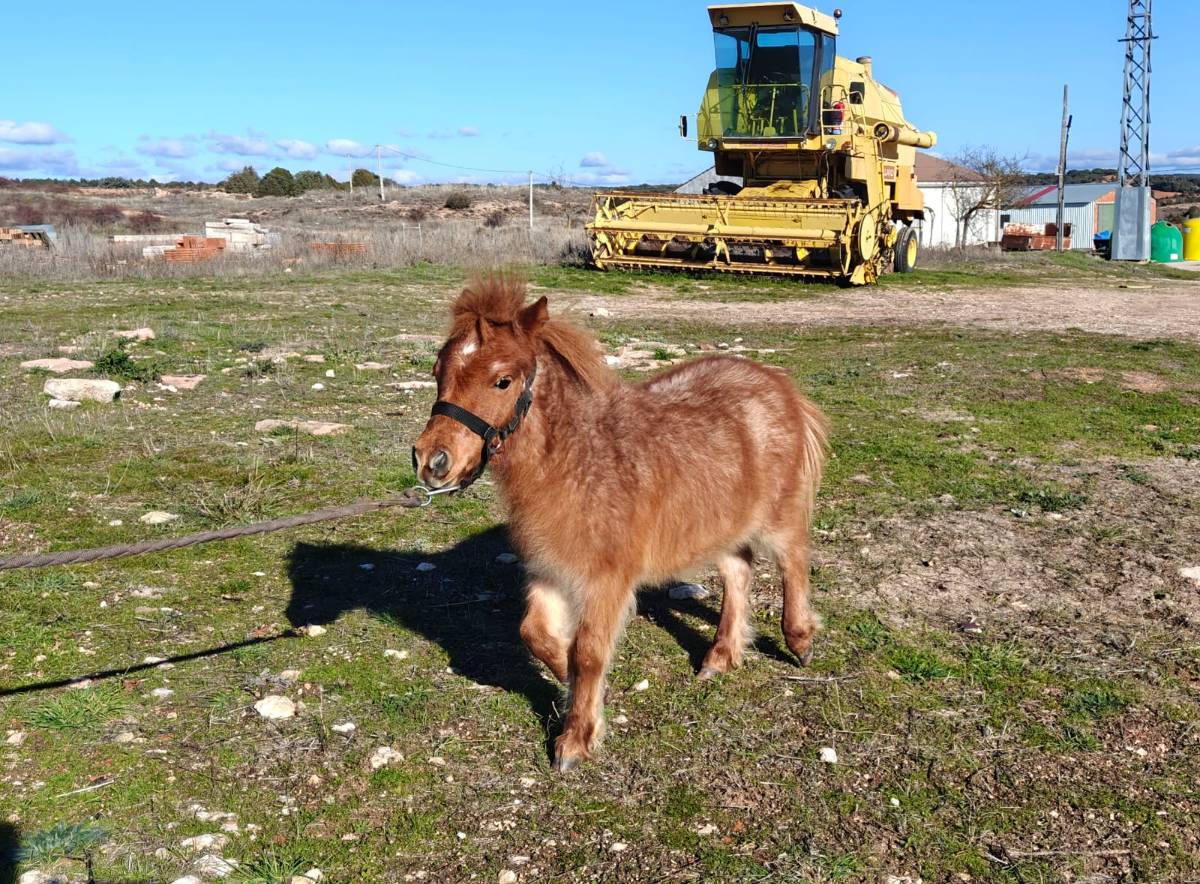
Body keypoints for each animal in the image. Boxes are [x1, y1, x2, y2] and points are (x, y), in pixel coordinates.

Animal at [412, 276, 828, 772]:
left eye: (502, 380)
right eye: (438, 370)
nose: (432, 462)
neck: (581, 462)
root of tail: (776, 383)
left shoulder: (606, 580)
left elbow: (589, 651)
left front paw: (576, 739)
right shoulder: (550, 570)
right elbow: (537, 635)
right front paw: (569, 682)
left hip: (778, 516)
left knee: (793, 561)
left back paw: (799, 641)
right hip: (722, 524)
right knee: (738, 572)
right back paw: (721, 656)